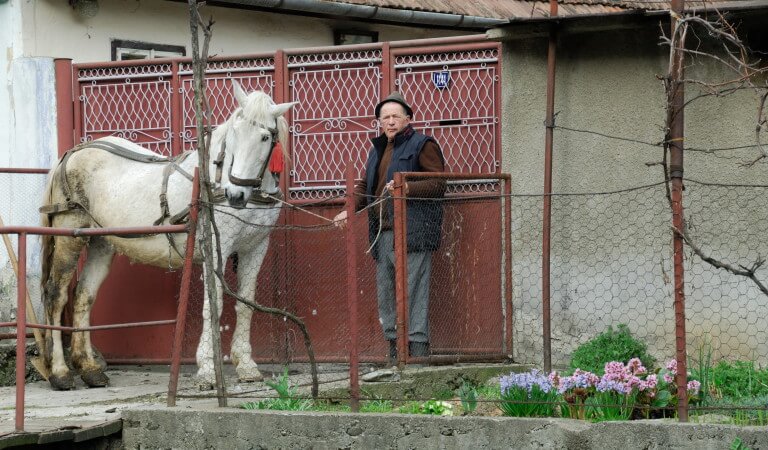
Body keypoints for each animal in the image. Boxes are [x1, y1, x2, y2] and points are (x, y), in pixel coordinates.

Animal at [39, 81, 296, 390]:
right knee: (56, 295)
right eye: (234, 133)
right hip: (70, 237)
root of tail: (74, 152)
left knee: (83, 295)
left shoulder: (255, 249)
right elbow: (214, 305)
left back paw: (90, 369)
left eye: (265, 137)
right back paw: (60, 372)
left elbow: (246, 304)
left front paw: (246, 365)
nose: (235, 195)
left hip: (102, 242)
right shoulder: (216, 249)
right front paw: (207, 370)